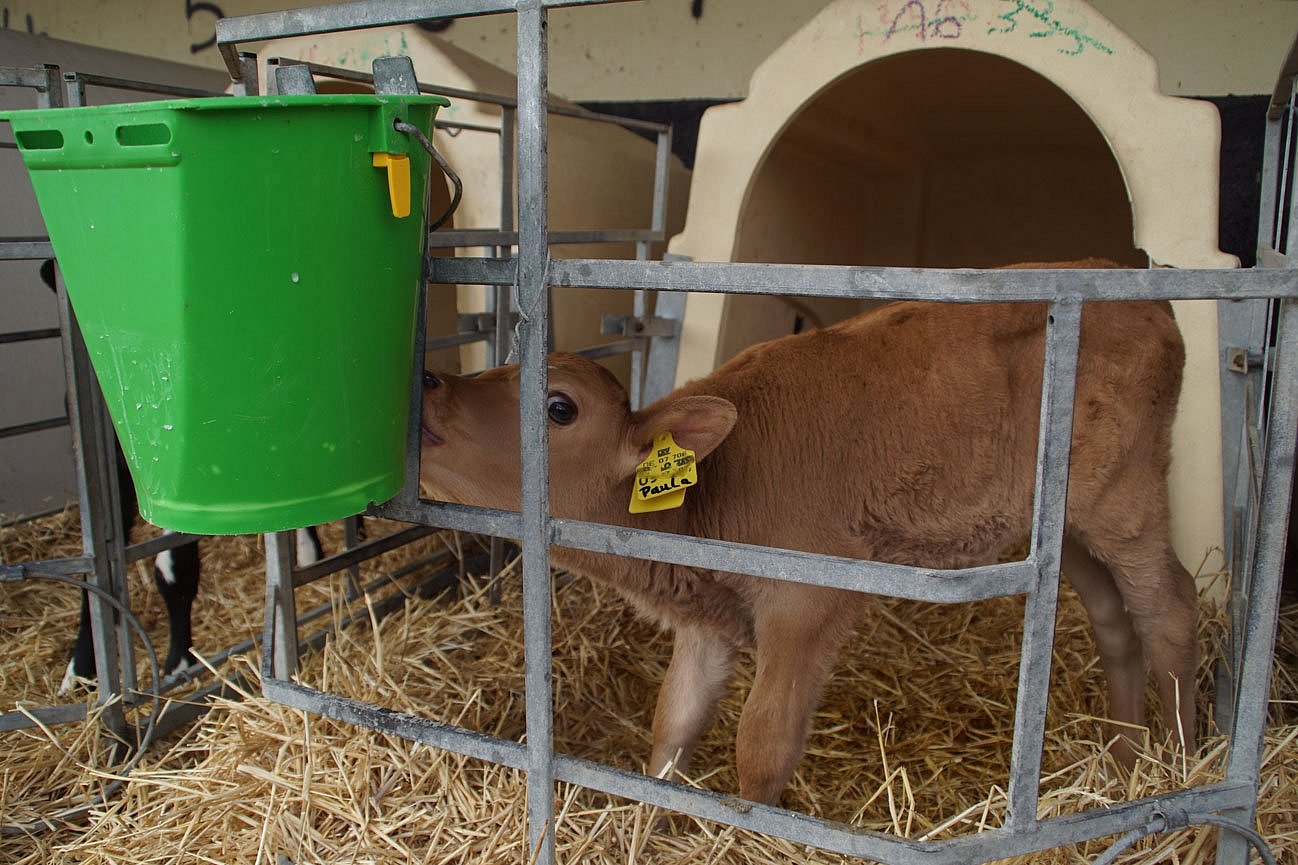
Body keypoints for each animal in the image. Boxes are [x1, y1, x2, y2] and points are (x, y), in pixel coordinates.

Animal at [417, 267, 1194, 800]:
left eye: (559, 406)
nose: (429, 382)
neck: (709, 496)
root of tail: (1136, 286)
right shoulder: (708, 621)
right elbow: (673, 725)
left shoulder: (806, 600)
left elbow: (762, 743)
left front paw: (749, 831)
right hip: (1064, 526)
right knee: (1115, 617)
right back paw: (1126, 761)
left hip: (1123, 497)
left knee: (1171, 607)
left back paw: (1184, 760)